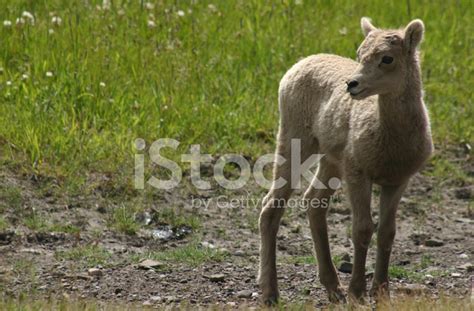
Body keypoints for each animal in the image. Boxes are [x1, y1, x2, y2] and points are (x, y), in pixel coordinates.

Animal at [260, 17, 434, 304]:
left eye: (387, 58)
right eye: (360, 54)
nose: (351, 85)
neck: (390, 139)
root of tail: (300, 64)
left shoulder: (397, 181)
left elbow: (387, 232)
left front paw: (381, 292)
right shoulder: (357, 173)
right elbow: (362, 229)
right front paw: (358, 293)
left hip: (330, 161)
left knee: (314, 201)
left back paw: (333, 288)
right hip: (294, 141)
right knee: (271, 206)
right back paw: (270, 293)